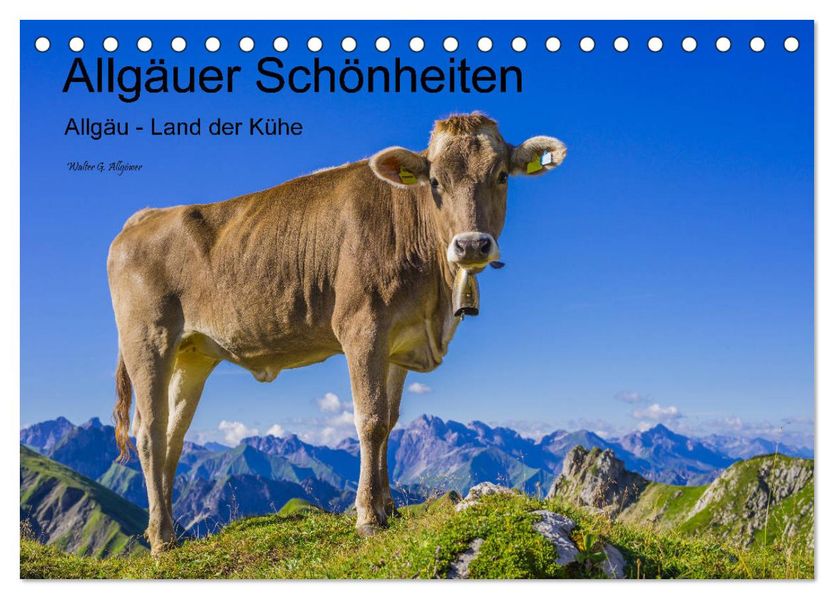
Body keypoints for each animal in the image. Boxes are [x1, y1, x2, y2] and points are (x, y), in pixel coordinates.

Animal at [107, 112, 566, 555]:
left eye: (501, 175)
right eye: (435, 181)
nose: (471, 245)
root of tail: (146, 216)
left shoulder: (399, 341)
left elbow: (390, 420)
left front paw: (388, 508)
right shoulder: (362, 327)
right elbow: (370, 419)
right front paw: (367, 516)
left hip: (193, 355)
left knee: (173, 436)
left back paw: (169, 532)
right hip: (147, 341)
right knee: (149, 434)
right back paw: (161, 539)